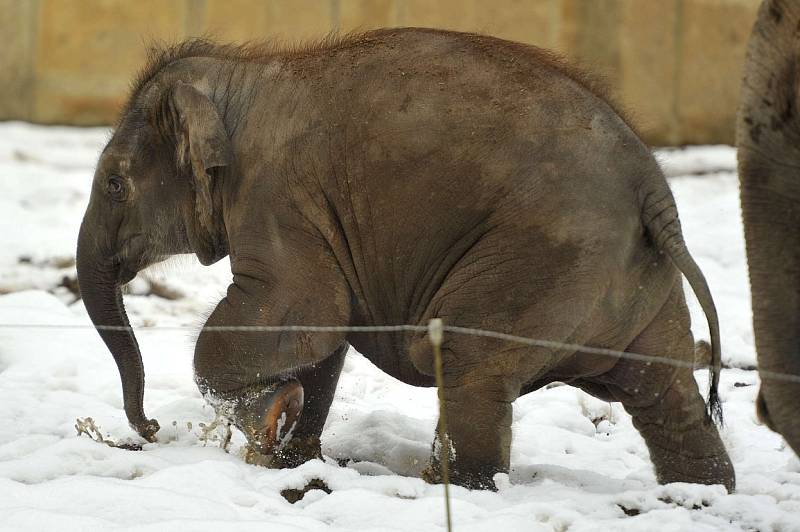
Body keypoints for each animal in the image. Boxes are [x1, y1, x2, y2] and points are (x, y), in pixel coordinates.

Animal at [78, 28, 736, 490]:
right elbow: (319, 341)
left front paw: (273, 420)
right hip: (634, 282)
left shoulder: (277, 196)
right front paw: (289, 454)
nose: (150, 428)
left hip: (543, 265)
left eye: (114, 185)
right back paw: (700, 499)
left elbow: (302, 312)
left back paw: (454, 488)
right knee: (664, 392)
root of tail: (654, 189)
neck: (237, 78)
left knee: (465, 364)